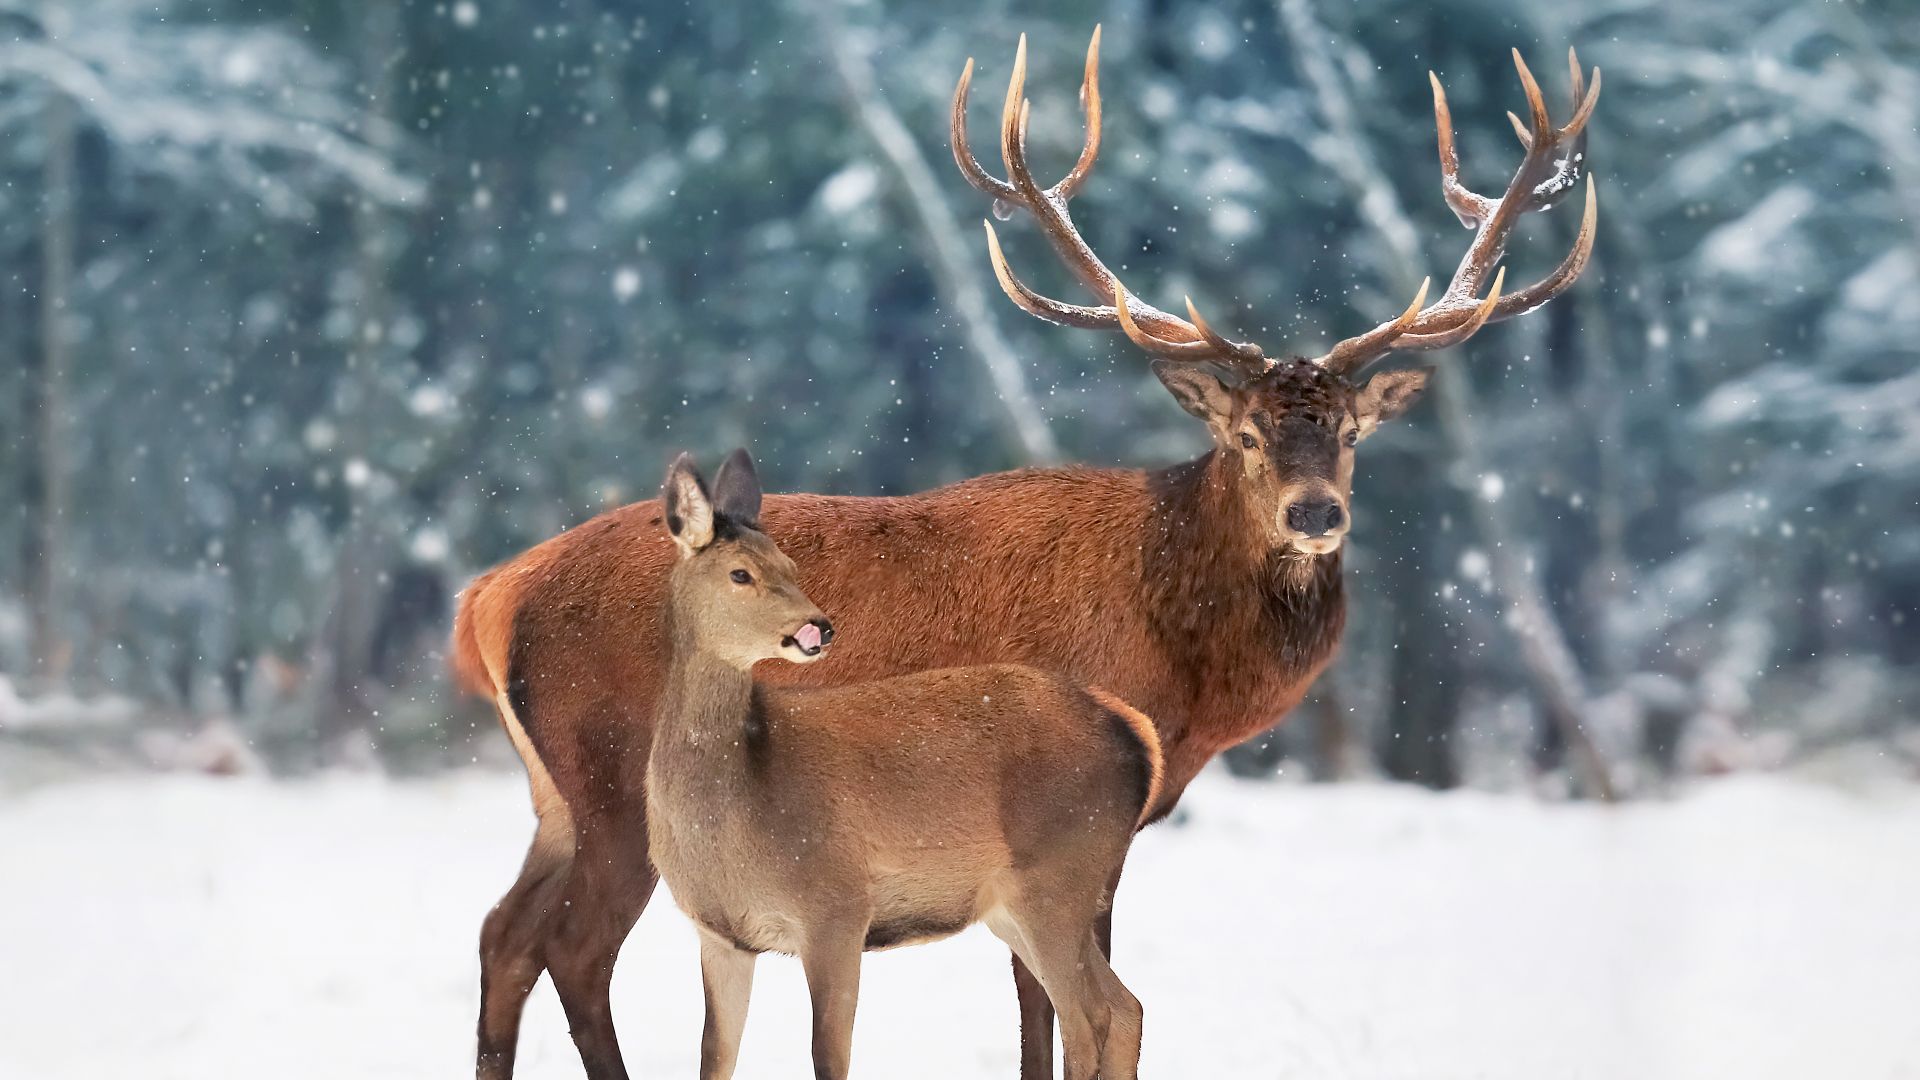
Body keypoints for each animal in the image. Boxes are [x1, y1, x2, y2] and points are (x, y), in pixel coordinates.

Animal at [646, 447, 1157, 1080]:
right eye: (740, 573)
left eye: (790, 564)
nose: (820, 628)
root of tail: (1137, 733)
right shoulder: (721, 935)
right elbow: (715, 1057)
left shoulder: (837, 906)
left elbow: (828, 1055)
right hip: (1019, 903)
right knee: (1126, 1006)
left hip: (1058, 876)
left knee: (1090, 1019)